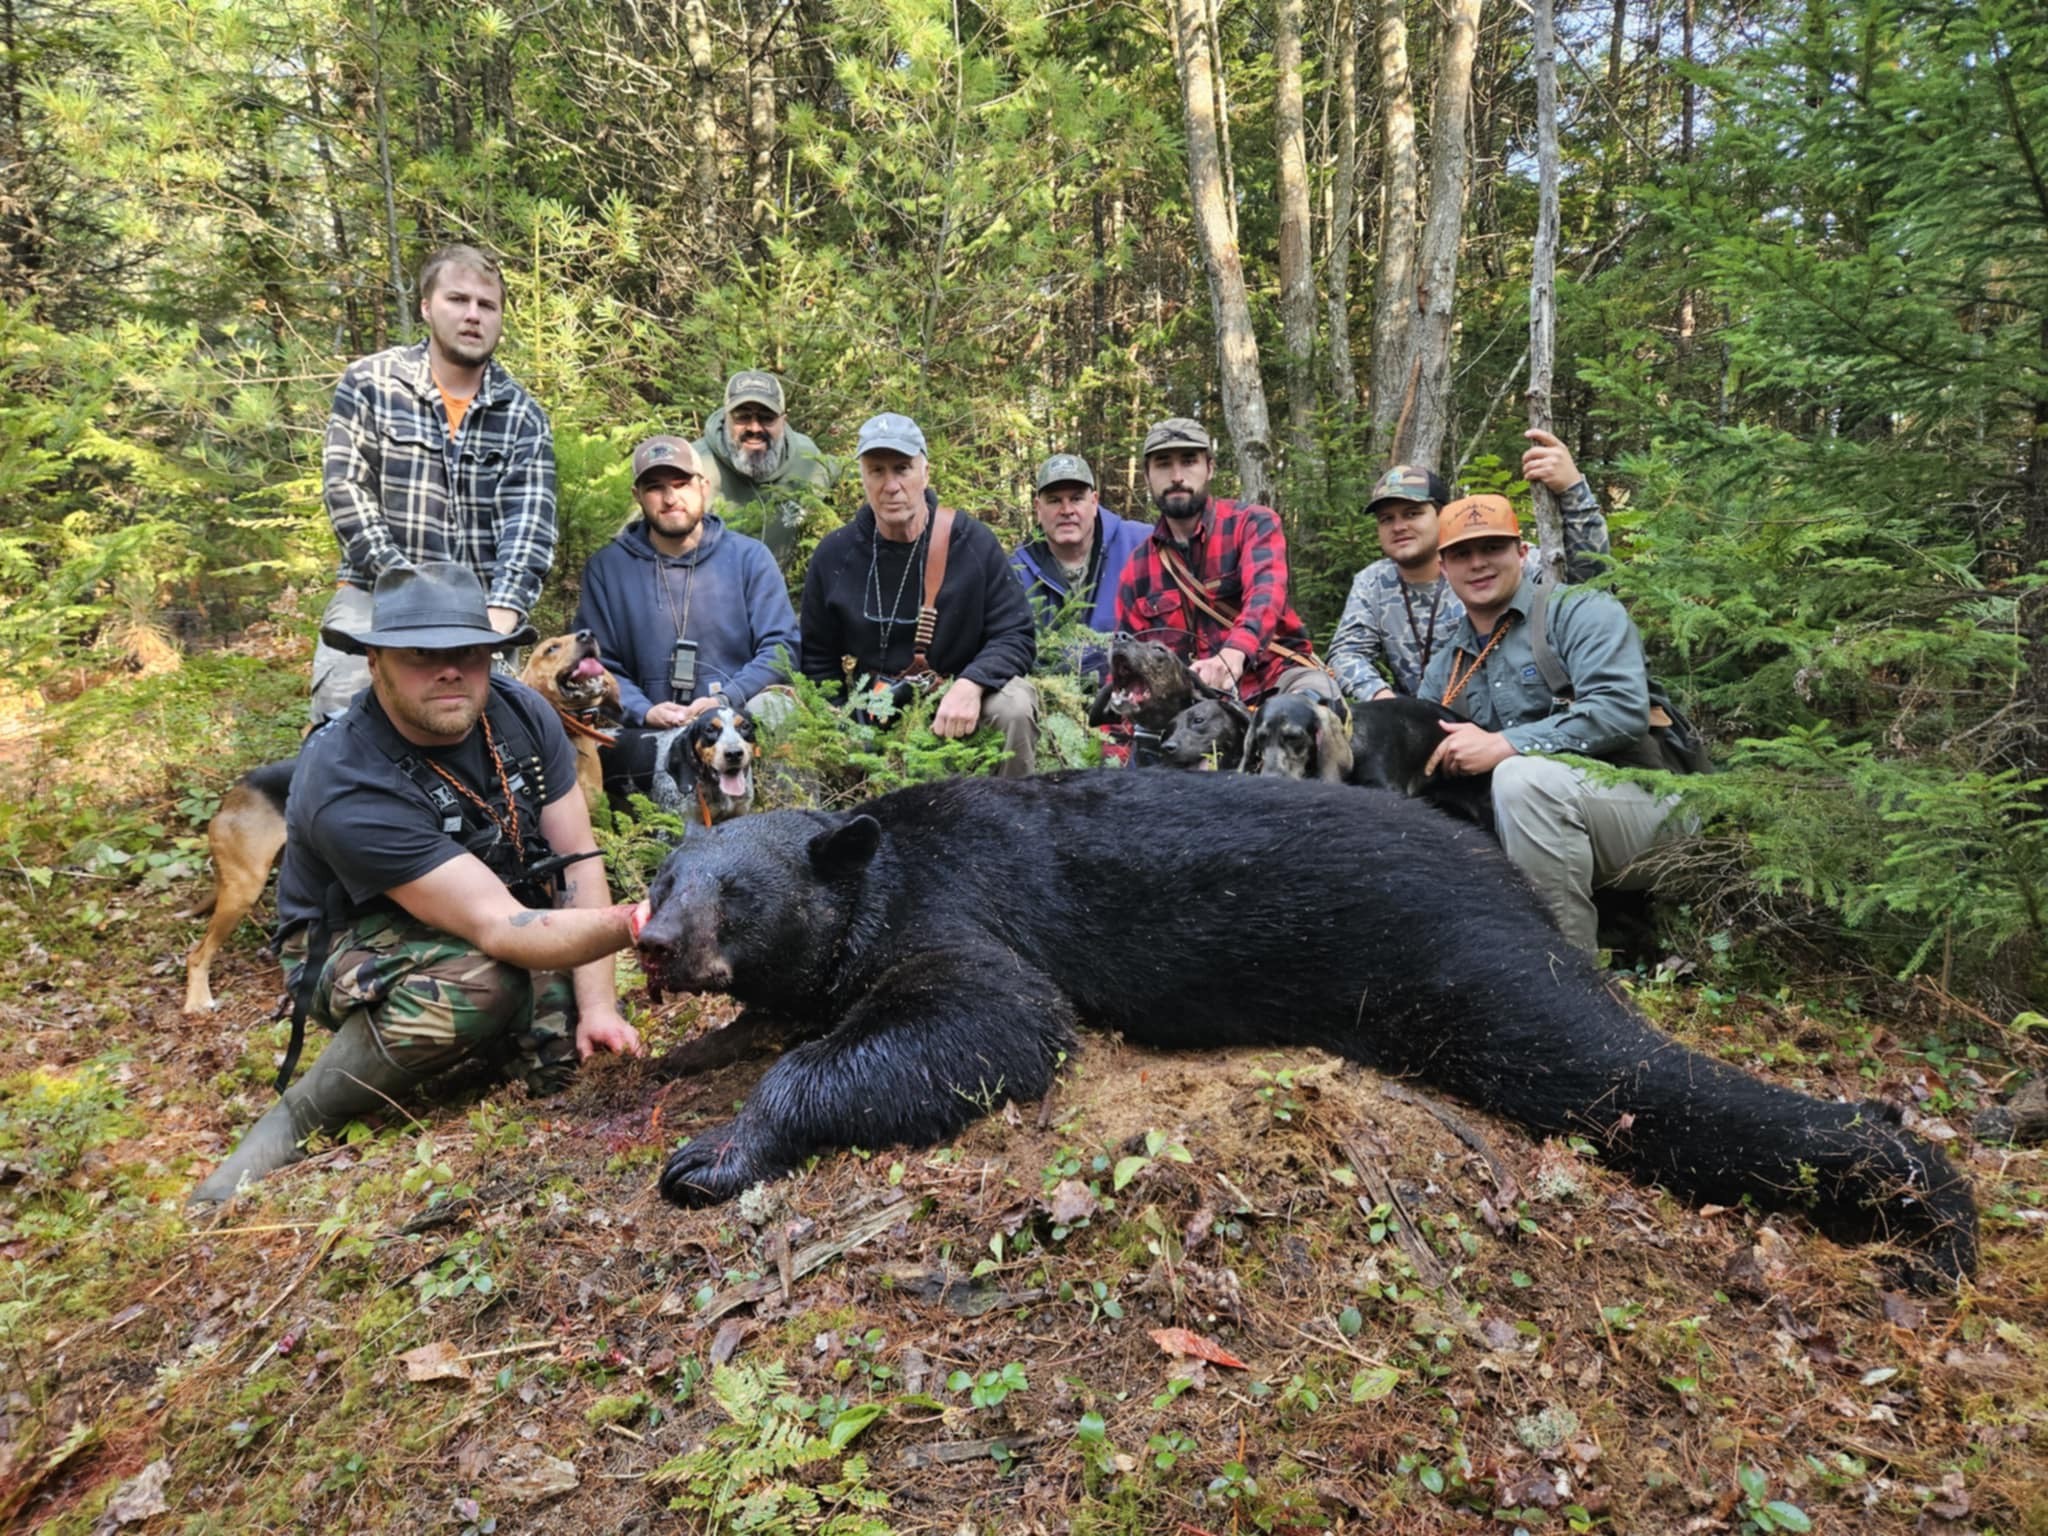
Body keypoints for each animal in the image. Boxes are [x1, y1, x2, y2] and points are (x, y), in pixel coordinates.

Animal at [635, 771, 1977, 1292]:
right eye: (659, 876)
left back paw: (1917, 1197)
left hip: (1457, 969)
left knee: (1610, 1069)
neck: (876, 867)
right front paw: (691, 1049)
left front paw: (721, 1148)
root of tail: (1500, 874)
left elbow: (995, 1023)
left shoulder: (964, 913)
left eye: (734, 892)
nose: (652, 945)